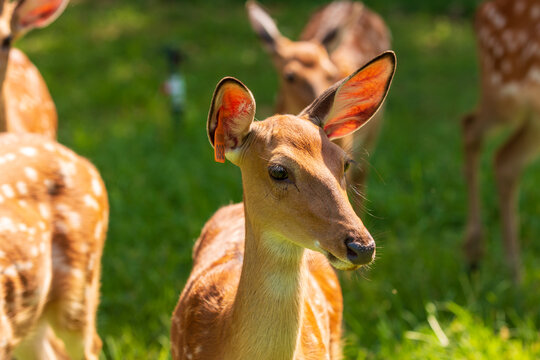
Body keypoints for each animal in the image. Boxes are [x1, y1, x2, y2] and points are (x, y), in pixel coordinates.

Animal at [460, 0, 540, 284]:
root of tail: (480, 13)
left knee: (505, 161)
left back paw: (514, 274)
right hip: (504, 86)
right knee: (470, 125)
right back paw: (475, 252)